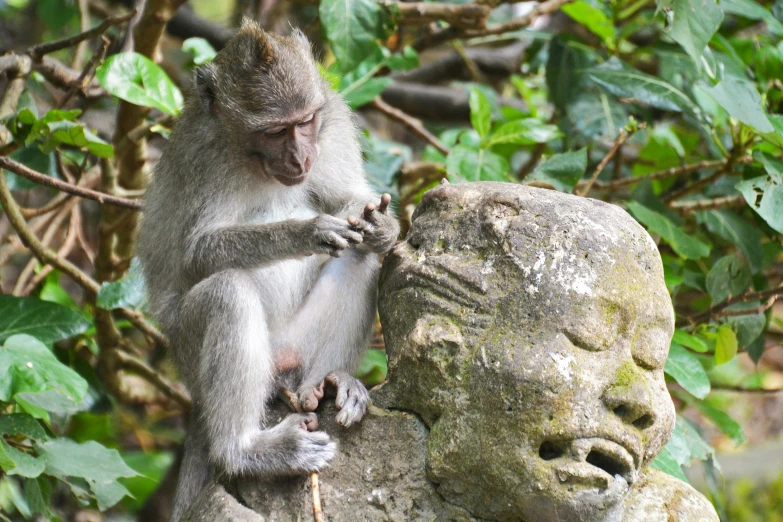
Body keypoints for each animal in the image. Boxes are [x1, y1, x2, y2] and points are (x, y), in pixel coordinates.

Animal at [136, 18, 402, 516]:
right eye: (277, 131)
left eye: (306, 121)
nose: (301, 158)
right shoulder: (205, 157)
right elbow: (198, 253)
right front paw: (308, 231)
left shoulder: (334, 125)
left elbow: (351, 202)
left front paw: (381, 228)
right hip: (189, 353)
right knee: (227, 295)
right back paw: (246, 450)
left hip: (300, 343)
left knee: (357, 258)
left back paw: (329, 385)